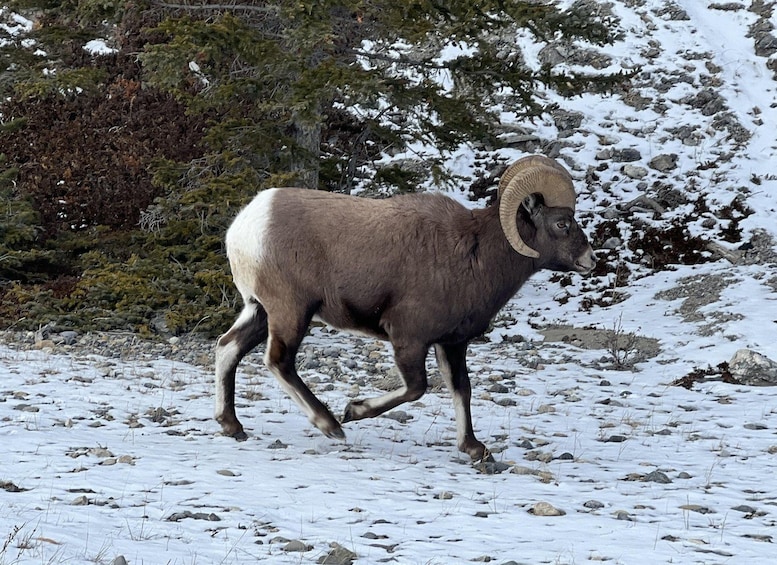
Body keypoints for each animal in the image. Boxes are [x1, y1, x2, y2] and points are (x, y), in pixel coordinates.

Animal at [214, 154, 596, 461]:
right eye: (562, 223)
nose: (590, 260)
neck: (475, 255)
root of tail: (245, 227)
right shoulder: (409, 339)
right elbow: (416, 388)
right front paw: (354, 410)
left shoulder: (452, 343)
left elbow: (462, 389)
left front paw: (474, 448)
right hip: (291, 311)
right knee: (279, 361)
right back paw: (331, 425)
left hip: (260, 311)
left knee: (227, 347)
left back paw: (232, 426)